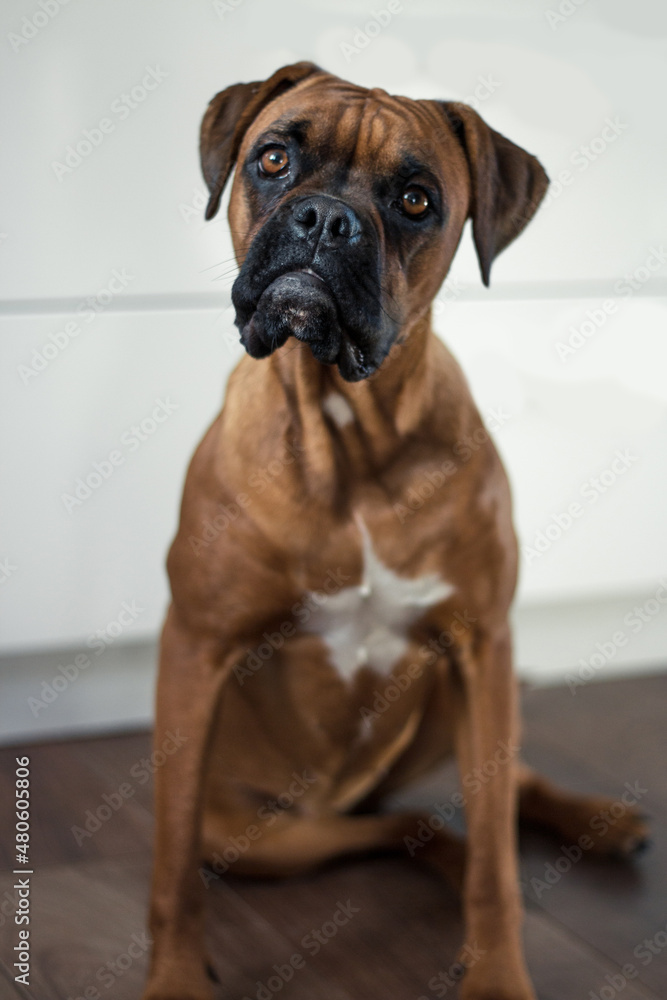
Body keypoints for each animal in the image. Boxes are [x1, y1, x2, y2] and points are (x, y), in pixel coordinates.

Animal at [144, 62, 648, 1000]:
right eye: (273, 158)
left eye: (415, 201)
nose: (323, 218)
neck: (349, 431)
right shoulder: (195, 650)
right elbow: (170, 863)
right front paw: (175, 979)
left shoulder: (483, 648)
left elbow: (495, 865)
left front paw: (496, 974)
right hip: (271, 836)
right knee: (406, 832)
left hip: (465, 701)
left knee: (493, 801)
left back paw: (596, 819)